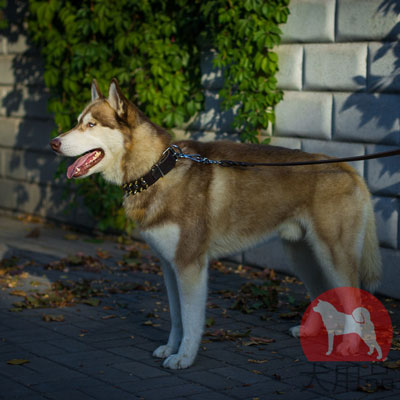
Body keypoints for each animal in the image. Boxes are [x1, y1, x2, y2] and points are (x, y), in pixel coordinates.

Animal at [50, 78, 382, 368]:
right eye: (77, 121)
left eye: (91, 125)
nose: (53, 142)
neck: (157, 170)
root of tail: (348, 168)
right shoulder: (169, 266)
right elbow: (176, 316)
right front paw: (171, 347)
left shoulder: (190, 265)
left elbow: (191, 320)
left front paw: (184, 358)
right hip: (302, 255)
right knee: (318, 290)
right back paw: (310, 330)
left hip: (333, 255)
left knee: (353, 294)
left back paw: (350, 344)